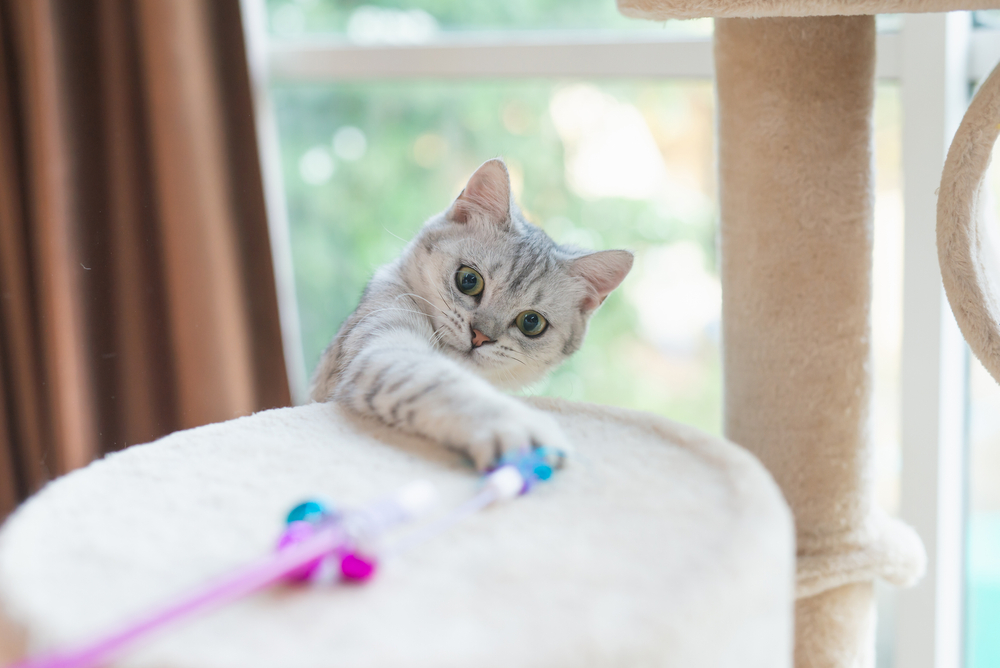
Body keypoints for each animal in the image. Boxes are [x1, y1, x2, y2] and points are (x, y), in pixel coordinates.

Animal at [310, 159, 632, 470]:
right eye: (468, 280)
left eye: (532, 322)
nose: (480, 336)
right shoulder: (382, 347)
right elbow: (443, 382)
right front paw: (520, 426)